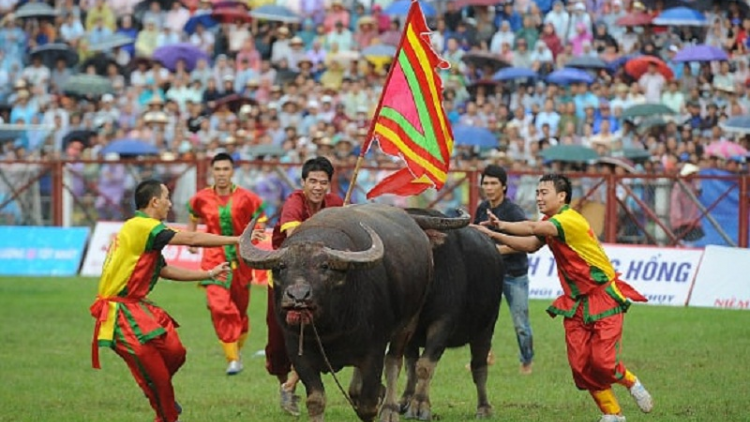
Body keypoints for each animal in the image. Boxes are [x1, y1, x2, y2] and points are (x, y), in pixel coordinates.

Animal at [241, 203, 470, 420]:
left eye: (324, 266)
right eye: (281, 266)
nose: (298, 297)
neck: (330, 328)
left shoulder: (374, 351)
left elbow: (369, 405)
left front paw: (377, 402)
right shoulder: (299, 354)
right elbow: (316, 401)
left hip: (408, 324)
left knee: (394, 363)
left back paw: (390, 410)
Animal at [400, 209, 506, 420]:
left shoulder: (442, 324)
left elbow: (425, 366)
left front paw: (420, 406)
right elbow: (411, 366)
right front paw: (406, 401)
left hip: (486, 328)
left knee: (479, 366)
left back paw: (484, 408)